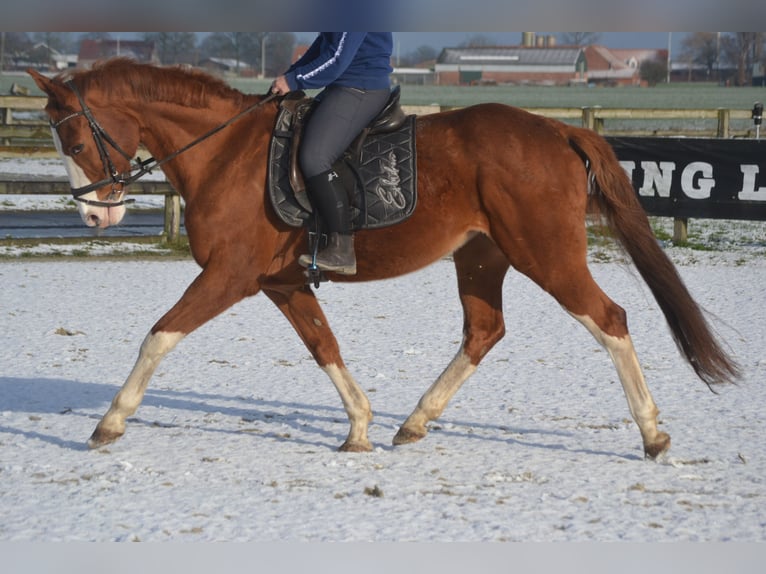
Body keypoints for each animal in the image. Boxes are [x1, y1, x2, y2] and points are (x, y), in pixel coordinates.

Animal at [28, 60, 736, 462]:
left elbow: (159, 335)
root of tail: (558, 129)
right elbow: (324, 345)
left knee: (609, 319)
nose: (94, 217)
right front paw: (361, 427)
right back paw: (414, 423)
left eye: (72, 138)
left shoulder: (229, 275)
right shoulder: (280, 281)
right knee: (484, 331)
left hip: (546, 254)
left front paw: (109, 423)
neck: (225, 152)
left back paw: (652, 434)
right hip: (481, 258)